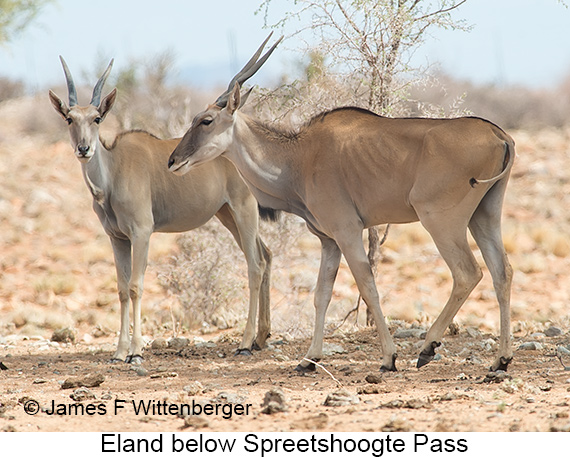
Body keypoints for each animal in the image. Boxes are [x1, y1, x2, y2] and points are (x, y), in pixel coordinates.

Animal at [48, 57, 270, 362]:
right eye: (70, 119)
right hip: (227, 215)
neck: (114, 172)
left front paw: (136, 351)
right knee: (266, 255)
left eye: (97, 118)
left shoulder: (142, 233)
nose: (84, 149)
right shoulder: (117, 238)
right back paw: (261, 337)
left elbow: (135, 286)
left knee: (255, 264)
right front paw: (119, 351)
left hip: (243, 209)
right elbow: (121, 289)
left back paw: (246, 343)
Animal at [169, 35, 516, 370]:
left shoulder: (347, 231)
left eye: (206, 121)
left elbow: (367, 285)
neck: (299, 157)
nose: (173, 161)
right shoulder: (329, 241)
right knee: (502, 272)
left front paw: (388, 358)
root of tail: (499, 135)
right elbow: (321, 295)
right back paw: (500, 360)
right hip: (484, 216)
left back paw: (429, 347)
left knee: (467, 273)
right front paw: (309, 359)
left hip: (440, 220)